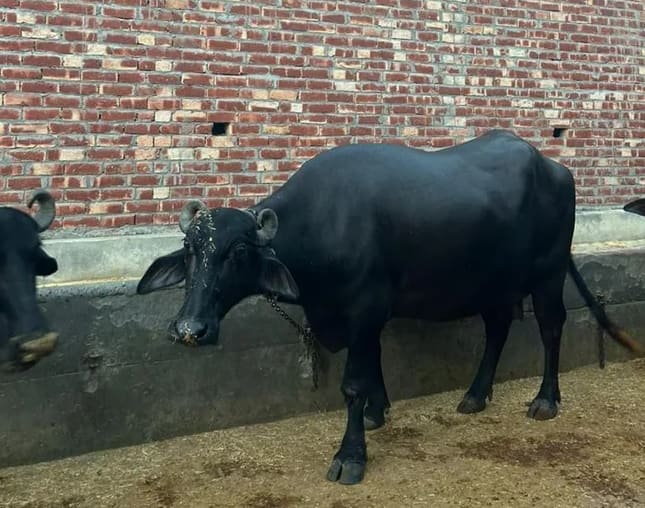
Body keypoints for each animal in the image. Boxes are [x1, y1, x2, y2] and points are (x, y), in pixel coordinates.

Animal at [138, 130, 641, 484]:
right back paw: (475, 396)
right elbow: (374, 365)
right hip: (492, 283)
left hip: (548, 273)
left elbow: (353, 384)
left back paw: (545, 400)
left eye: (239, 252)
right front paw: (377, 413)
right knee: (497, 328)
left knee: (551, 327)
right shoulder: (363, 318)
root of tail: (553, 167)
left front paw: (350, 456)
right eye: (190, 250)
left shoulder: (364, 309)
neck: (324, 224)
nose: (190, 329)